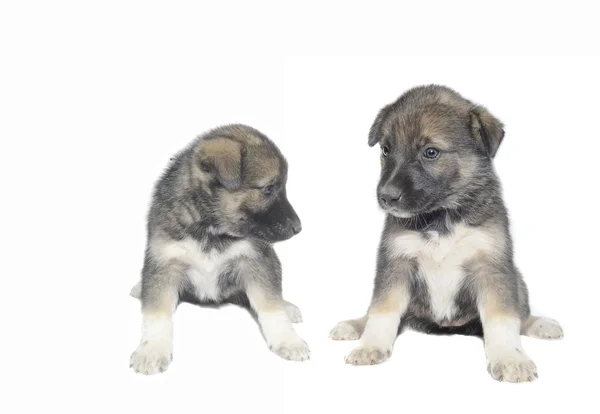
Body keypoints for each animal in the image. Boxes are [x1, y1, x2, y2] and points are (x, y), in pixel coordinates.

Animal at [130, 123, 310, 376]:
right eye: (268, 189)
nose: (298, 228)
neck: (211, 229)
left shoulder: (258, 261)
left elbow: (271, 305)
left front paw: (288, 341)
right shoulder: (164, 264)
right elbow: (157, 313)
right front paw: (152, 350)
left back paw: (289, 307)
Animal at [330, 85, 564, 384]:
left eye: (430, 152)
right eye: (385, 149)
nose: (386, 197)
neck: (440, 217)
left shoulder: (491, 267)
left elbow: (502, 318)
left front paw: (509, 358)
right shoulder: (396, 264)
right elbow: (383, 311)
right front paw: (370, 345)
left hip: (517, 279)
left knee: (522, 313)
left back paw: (542, 324)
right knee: (373, 311)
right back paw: (354, 326)